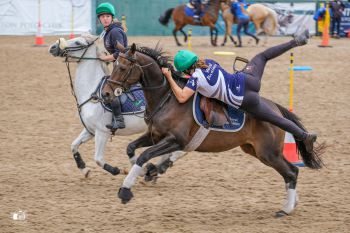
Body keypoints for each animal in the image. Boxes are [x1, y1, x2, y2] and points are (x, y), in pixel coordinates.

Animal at [49, 35, 186, 178]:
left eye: (77, 42)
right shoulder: (90, 130)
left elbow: (98, 159)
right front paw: (84, 168)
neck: (92, 92)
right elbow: (74, 145)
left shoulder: (102, 132)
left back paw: (159, 167)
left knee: (180, 151)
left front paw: (120, 170)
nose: (53, 47)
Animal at [102, 43, 324, 217]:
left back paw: (286, 207)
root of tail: (274, 107)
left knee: (292, 172)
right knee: (290, 172)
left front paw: (126, 190)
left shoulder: (175, 140)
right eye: (113, 65)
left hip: (268, 152)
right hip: (256, 150)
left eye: (122, 67)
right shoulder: (154, 136)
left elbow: (144, 155)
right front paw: (145, 172)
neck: (168, 98)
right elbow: (132, 149)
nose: (105, 94)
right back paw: (292, 203)